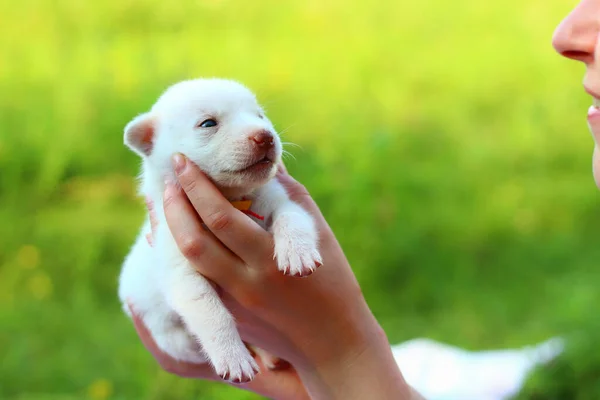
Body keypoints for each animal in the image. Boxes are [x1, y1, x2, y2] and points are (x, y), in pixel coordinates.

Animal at [119, 78, 322, 382]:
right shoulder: (181, 269)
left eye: (260, 115)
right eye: (208, 123)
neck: (234, 200)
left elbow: (292, 218)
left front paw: (298, 252)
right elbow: (210, 311)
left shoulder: (280, 200)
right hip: (160, 324)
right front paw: (232, 356)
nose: (265, 136)